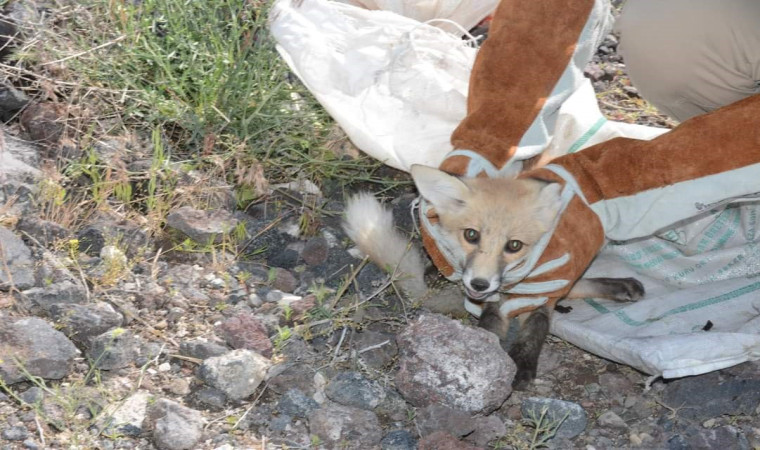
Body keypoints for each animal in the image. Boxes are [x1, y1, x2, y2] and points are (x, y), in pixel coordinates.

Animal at [342, 165, 644, 390]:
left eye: (514, 245)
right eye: (471, 235)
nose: (479, 284)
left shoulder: (542, 296)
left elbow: (533, 334)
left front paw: (521, 367)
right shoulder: (494, 303)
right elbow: (488, 330)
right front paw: (485, 359)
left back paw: (622, 286)